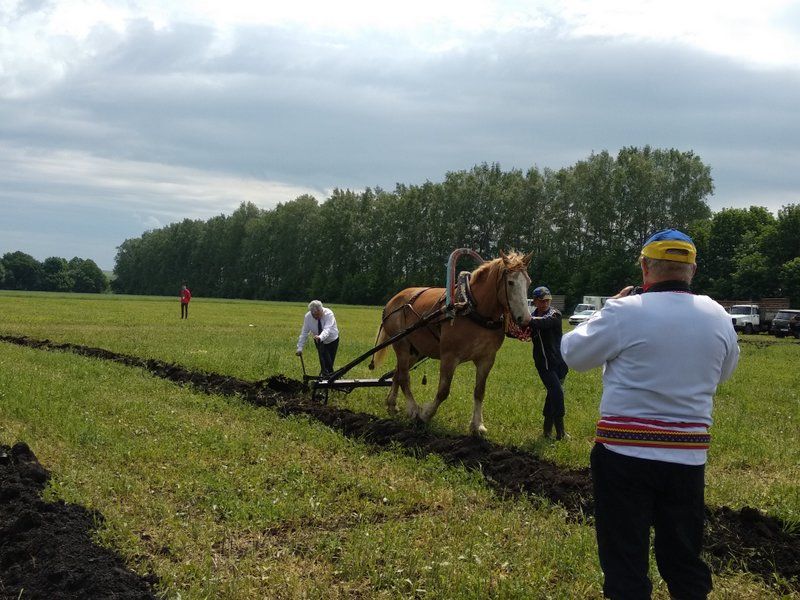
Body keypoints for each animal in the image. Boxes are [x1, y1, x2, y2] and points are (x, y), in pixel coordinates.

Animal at [369, 251, 532, 436]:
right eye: (510, 282)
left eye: (528, 282)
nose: (526, 319)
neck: (472, 308)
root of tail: (393, 301)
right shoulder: (449, 357)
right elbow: (443, 391)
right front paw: (425, 415)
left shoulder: (487, 359)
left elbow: (479, 392)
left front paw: (477, 425)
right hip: (401, 344)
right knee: (404, 377)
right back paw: (413, 409)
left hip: (415, 350)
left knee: (397, 373)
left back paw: (392, 404)